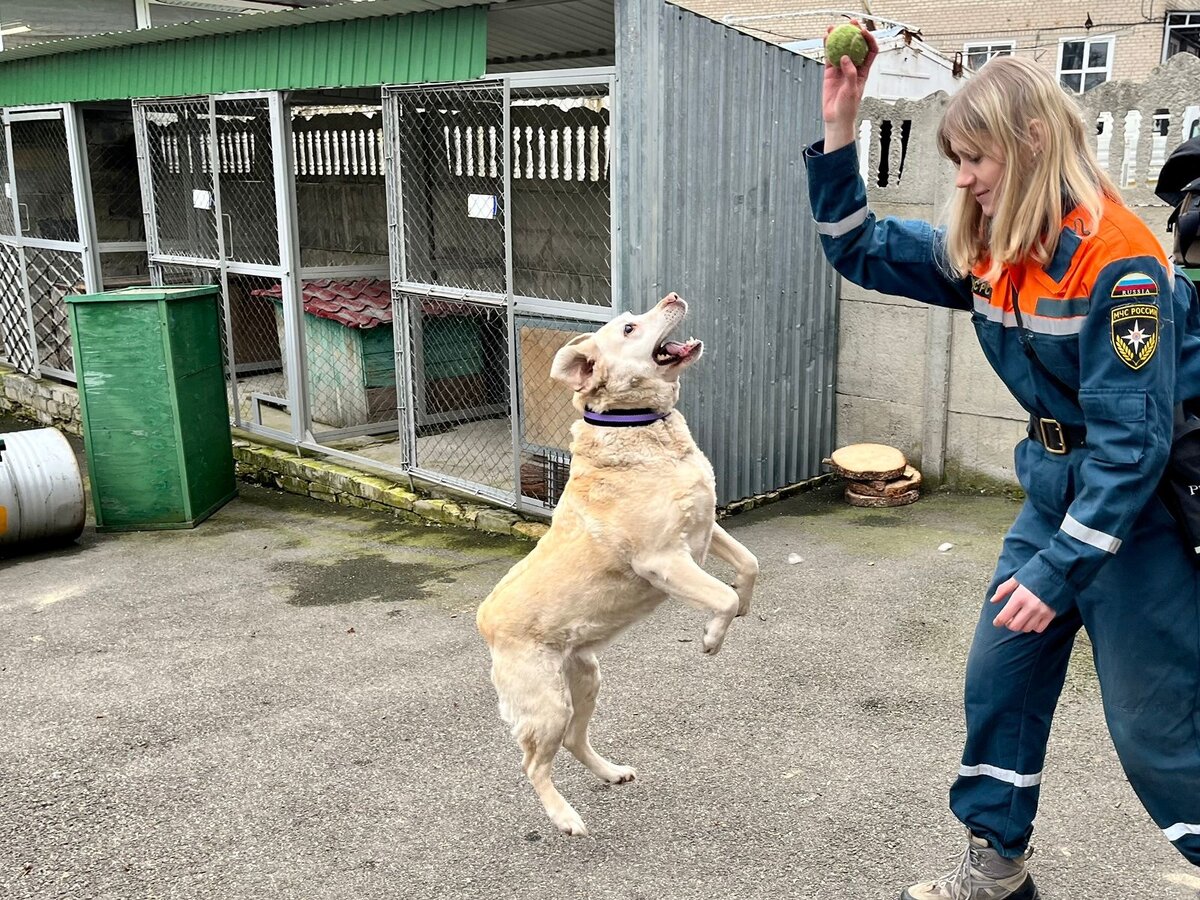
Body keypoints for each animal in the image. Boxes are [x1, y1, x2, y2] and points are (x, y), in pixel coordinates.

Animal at [472, 294, 753, 840]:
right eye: (628, 328)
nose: (673, 297)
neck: (643, 426)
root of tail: (484, 621)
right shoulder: (663, 560)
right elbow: (723, 597)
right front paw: (712, 639)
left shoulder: (706, 530)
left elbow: (749, 566)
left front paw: (746, 606)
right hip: (547, 705)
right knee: (534, 763)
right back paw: (564, 817)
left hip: (587, 677)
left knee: (575, 741)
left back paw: (611, 771)